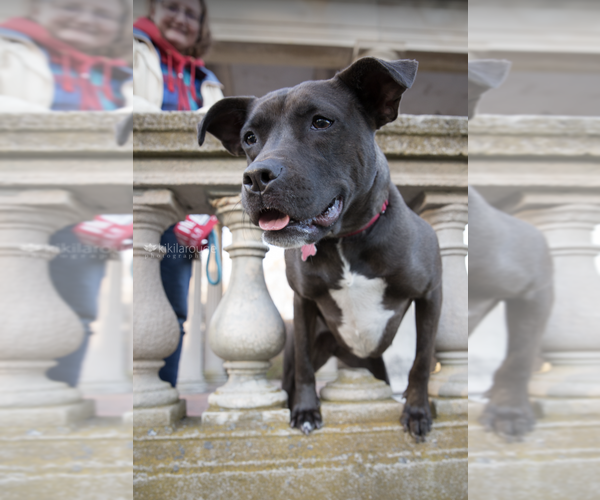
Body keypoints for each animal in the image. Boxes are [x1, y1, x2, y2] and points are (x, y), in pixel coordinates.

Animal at [199, 58, 442, 440]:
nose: (255, 177)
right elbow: (304, 366)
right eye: (249, 138)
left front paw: (417, 410)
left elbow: (421, 360)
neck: (345, 239)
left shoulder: (431, 294)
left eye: (321, 122)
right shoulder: (303, 303)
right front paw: (306, 411)